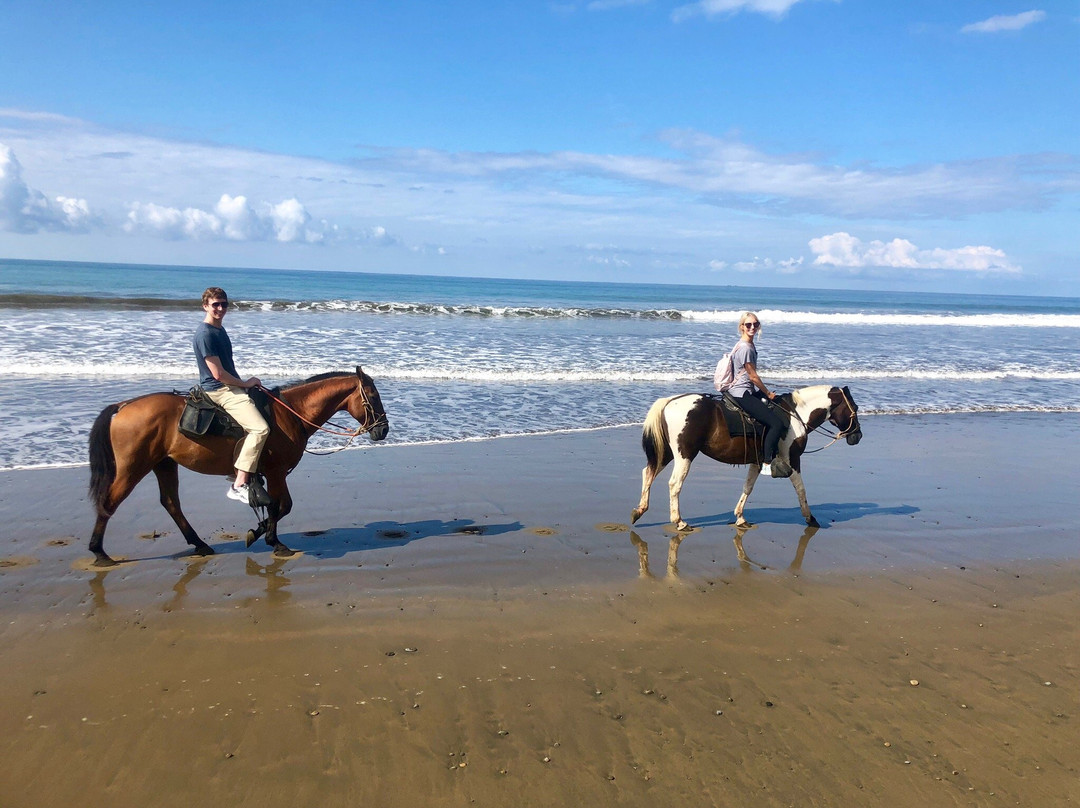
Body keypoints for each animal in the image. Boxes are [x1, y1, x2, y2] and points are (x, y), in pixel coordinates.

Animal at [87, 369, 388, 566]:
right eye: (373, 396)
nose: (383, 430)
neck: (290, 414)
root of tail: (123, 405)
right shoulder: (277, 472)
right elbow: (281, 506)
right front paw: (272, 540)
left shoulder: (273, 473)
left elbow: (279, 507)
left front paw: (259, 532)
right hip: (133, 467)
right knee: (110, 503)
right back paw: (99, 552)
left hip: (164, 464)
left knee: (171, 503)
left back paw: (200, 544)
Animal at [630, 384, 864, 529]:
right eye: (854, 407)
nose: (858, 436)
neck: (794, 415)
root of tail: (670, 402)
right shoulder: (792, 459)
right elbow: (801, 489)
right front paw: (810, 518)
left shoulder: (757, 461)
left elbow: (748, 487)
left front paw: (740, 517)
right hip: (685, 455)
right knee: (674, 483)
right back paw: (679, 522)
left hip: (668, 453)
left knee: (648, 473)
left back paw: (640, 510)